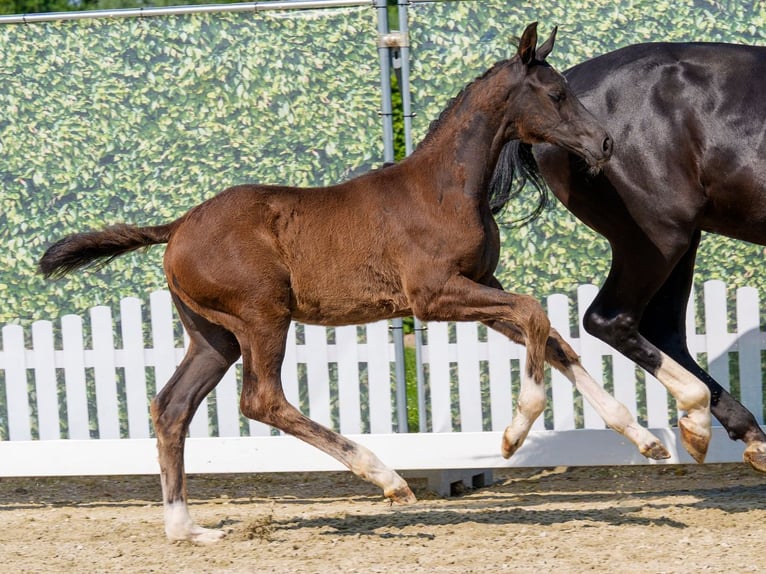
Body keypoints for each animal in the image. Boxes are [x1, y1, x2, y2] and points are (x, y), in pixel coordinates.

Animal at [40, 23, 630, 544]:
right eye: (556, 94)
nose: (605, 144)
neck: (443, 187)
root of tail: (178, 225)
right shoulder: (433, 296)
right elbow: (534, 313)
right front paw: (512, 436)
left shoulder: (480, 282)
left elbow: (552, 339)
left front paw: (638, 434)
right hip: (263, 316)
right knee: (262, 400)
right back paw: (387, 479)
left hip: (215, 337)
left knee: (172, 408)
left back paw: (187, 529)